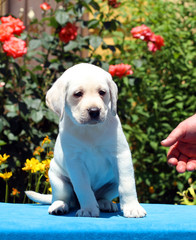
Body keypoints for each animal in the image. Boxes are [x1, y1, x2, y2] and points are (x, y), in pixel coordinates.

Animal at [25, 62, 145, 218]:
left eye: (102, 92)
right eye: (78, 94)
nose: (94, 111)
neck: (90, 130)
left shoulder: (120, 155)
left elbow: (127, 184)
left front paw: (132, 207)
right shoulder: (75, 162)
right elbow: (83, 187)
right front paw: (88, 208)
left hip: (112, 183)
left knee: (102, 196)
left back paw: (106, 204)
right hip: (57, 179)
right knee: (63, 198)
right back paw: (59, 206)